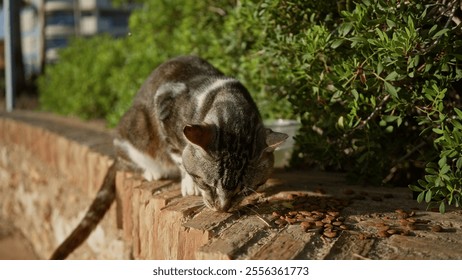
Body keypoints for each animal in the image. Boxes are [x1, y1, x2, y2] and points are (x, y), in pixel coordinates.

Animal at [51, 55, 288, 260]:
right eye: (207, 184)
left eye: (245, 191)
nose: (222, 209)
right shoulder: (164, 106)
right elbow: (179, 156)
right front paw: (189, 184)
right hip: (136, 128)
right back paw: (151, 171)